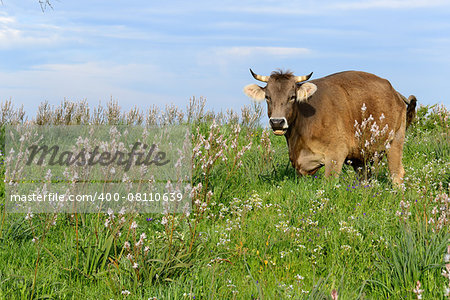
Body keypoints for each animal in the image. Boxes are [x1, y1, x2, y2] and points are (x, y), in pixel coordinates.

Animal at [244, 69, 416, 185]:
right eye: (267, 97)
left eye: (292, 97)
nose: (277, 122)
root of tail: (394, 92)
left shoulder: (336, 154)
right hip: (361, 156)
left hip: (395, 142)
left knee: (397, 173)